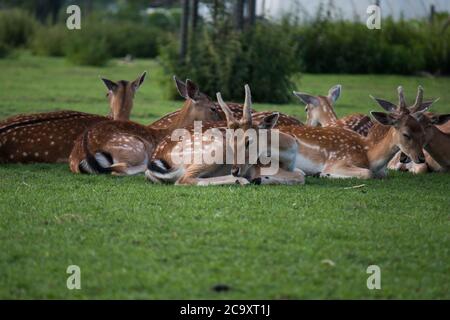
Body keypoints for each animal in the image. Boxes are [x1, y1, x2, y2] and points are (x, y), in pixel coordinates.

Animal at [145, 84, 306, 186]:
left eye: (249, 141)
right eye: (231, 143)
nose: (235, 170)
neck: (289, 156)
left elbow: (301, 173)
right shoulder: (260, 167)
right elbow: (300, 176)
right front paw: (260, 179)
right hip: (214, 151)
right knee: (184, 179)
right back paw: (241, 181)